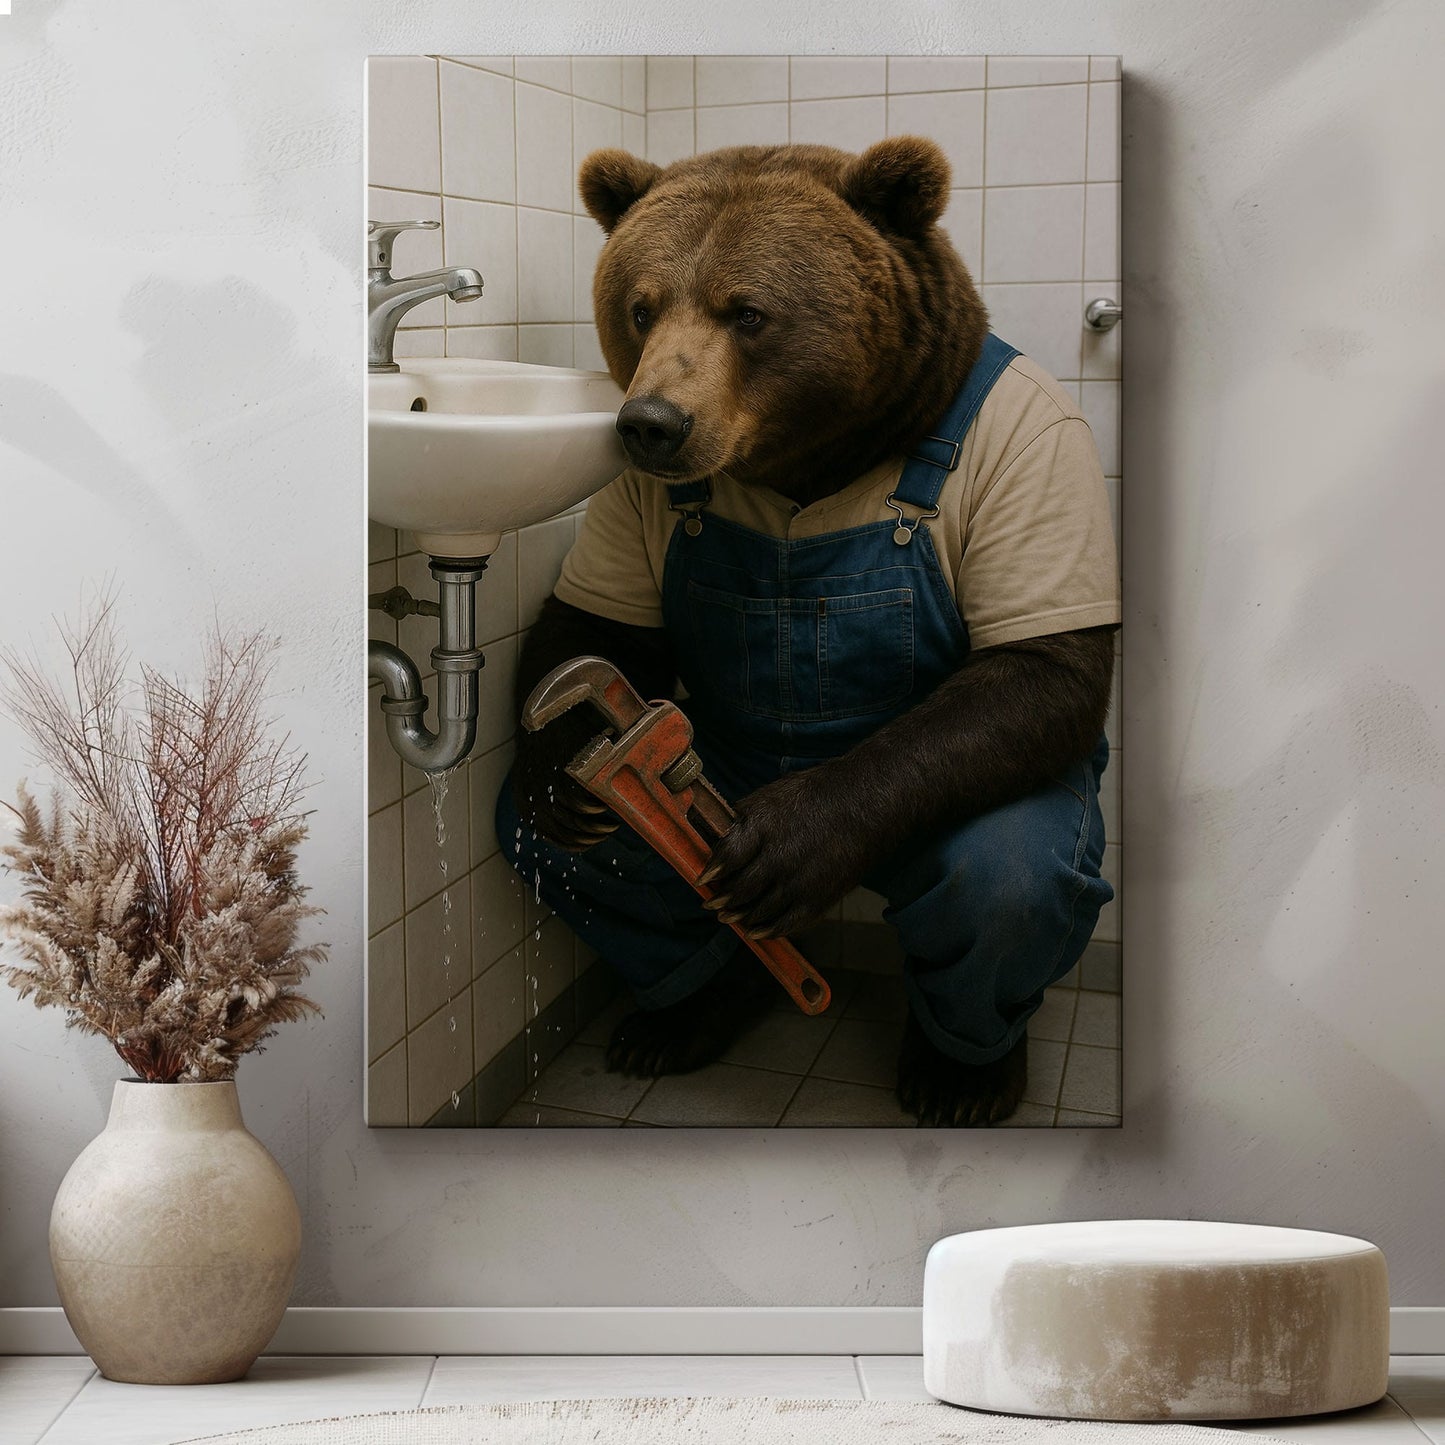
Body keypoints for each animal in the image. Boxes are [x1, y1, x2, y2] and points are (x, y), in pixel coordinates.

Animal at [499, 136, 1119, 1127]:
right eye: (640, 305)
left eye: (747, 311)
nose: (649, 422)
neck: (812, 461)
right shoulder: (629, 498)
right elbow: (594, 617)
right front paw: (559, 780)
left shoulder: (1030, 446)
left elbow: (1040, 664)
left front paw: (791, 842)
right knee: (590, 867)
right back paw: (685, 1011)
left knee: (1007, 872)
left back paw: (961, 1071)